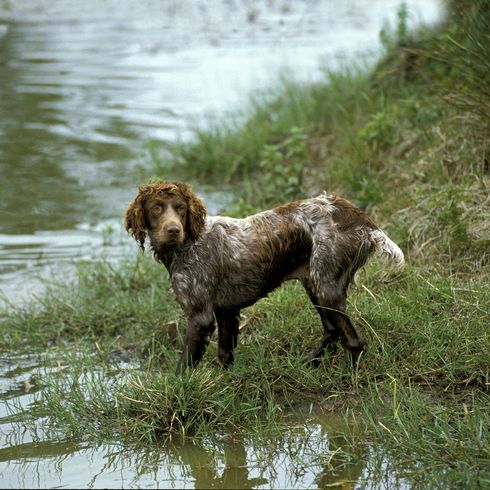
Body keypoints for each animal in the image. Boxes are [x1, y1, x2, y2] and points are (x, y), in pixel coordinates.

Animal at [124, 182, 404, 374]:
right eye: (156, 208)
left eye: (181, 208)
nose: (173, 230)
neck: (189, 243)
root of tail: (361, 219)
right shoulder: (226, 310)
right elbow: (225, 354)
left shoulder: (199, 315)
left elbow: (183, 368)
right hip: (316, 284)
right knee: (333, 330)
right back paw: (307, 362)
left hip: (326, 287)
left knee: (354, 341)